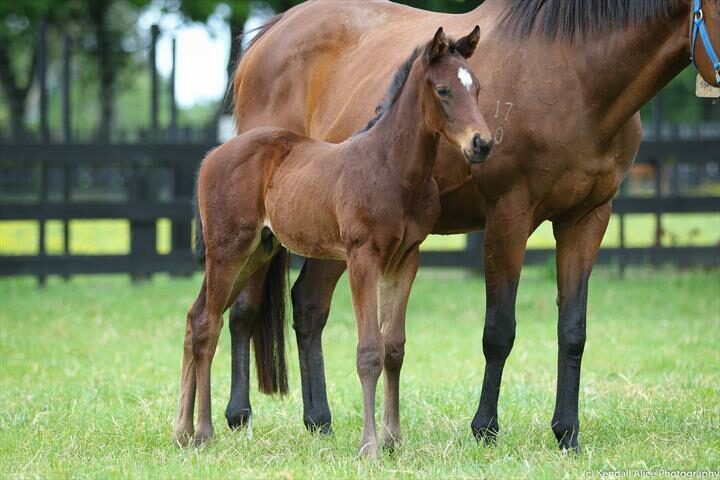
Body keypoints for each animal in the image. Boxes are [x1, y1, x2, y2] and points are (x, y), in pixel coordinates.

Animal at [172, 27, 492, 458]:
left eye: (476, 88)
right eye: (443, 90)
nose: (482, 143)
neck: (393, 169)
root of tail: (211, 157)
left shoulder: (406, 259)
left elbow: (394, 348)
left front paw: (393, 438)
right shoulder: (363, 257)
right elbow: (369, 351)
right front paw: (369, 446)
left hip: (257, 251)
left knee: (195, 317)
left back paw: (182, 430)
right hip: (227, 249)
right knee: (207, 323)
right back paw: (203, 432)